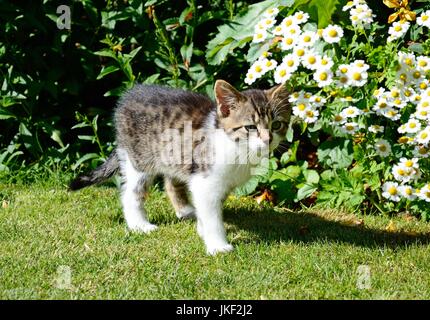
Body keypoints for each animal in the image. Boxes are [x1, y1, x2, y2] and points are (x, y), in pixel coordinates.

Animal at [70, 80, 290, 255]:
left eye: (277, 125)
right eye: (250, 127)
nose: (268, 140)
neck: (237, 148)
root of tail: (127, 97)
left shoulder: (218, 182)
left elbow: (209, 207)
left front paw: (201, 227)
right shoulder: (205, 179)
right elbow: (212, 216)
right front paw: (217, 245)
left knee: (170, 182)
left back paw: (185, 210)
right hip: (140, 159)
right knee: (130, 192)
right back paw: (139, 225)